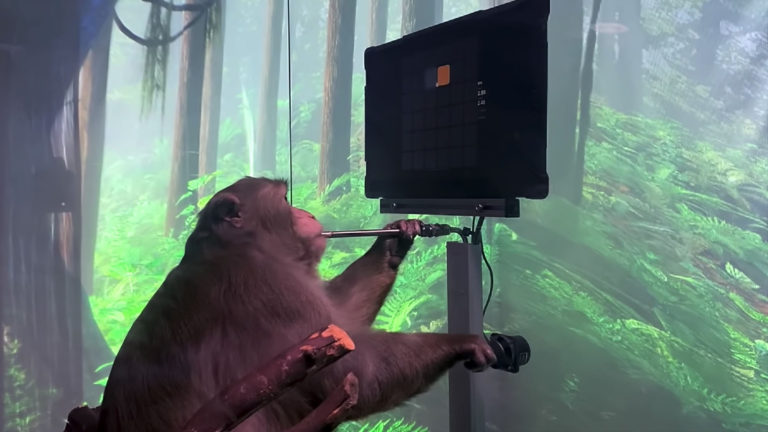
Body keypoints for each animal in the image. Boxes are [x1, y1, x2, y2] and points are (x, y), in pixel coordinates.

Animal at [96, 176, 496, 431]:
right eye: (286, 200)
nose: (308, 212)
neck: (242, 245)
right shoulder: (268, 287)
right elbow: (356, 367)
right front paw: (461, 341)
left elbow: (341, 317)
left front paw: (394, 240)